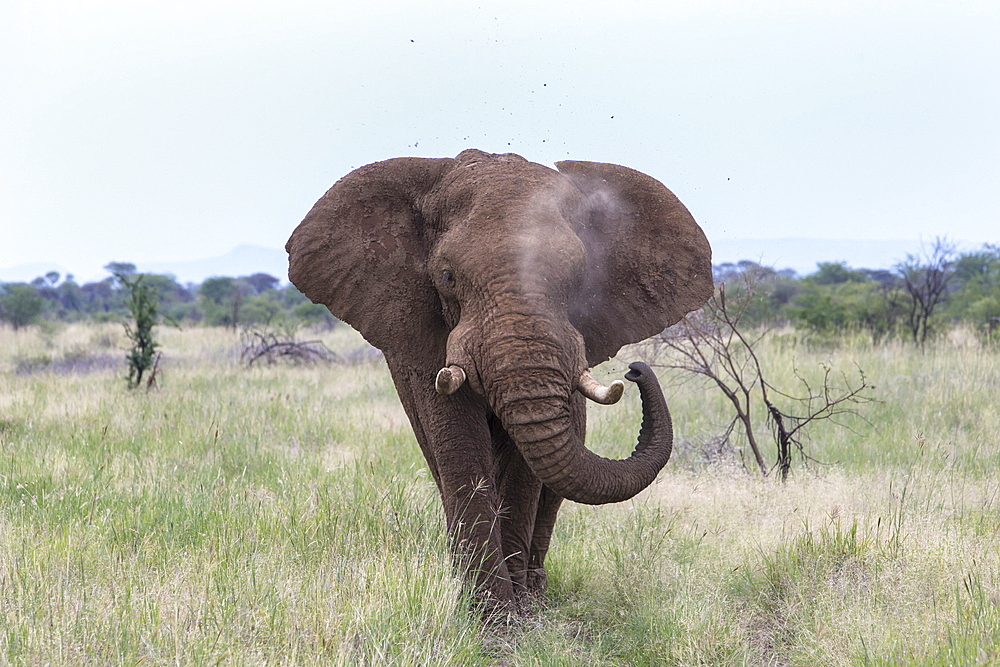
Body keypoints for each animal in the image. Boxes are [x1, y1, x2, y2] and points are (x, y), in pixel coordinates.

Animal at [286, 149, 716, 620]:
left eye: (580, 278)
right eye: (447, 277)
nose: (635, 371)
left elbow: (526, 466)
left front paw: (516, 614)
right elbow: (458, 446)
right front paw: (491, 616)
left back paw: (535, 591)